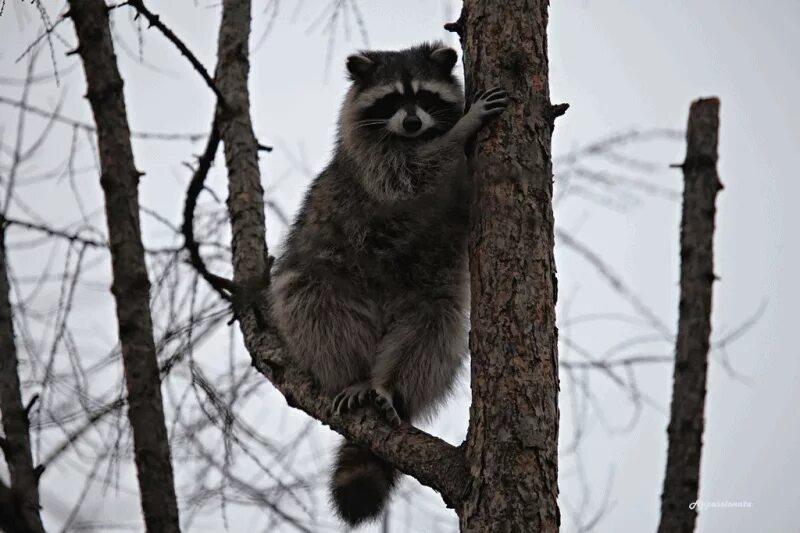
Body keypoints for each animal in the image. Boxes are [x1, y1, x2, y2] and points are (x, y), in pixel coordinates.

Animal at [268, 40, 506, 524]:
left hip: (425, 296)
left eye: (425, 97)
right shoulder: (371, 160)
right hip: (328, 280)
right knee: (313, 304)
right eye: (392, 100)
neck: (412, 138)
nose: (413, 122)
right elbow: (409, 177)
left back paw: (389, 386)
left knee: (434, 328)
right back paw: (351, 375)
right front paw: (461, 131)